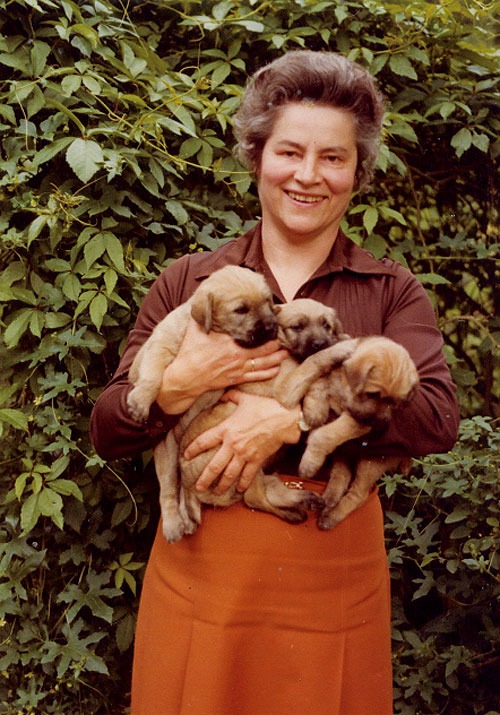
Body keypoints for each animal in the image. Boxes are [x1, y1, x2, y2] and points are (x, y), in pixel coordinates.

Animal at [159, 298, 348, 542]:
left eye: (326, 325)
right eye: (297, 327)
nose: (321, 343)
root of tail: (189, 485)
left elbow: (318, 375)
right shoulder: (286, 387)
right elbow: (313, 362)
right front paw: (340, 348)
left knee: (270, 490)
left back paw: (304, 499)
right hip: (247, 461)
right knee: (254, 499)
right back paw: (292, 514)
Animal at [277, 335, 419, 528]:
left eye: (394, 402)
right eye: (373, 394)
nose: (380, 424)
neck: (344, 387)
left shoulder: (356, 420)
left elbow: (327, 434)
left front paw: (309, 463)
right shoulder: (328, 377)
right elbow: (317, 384)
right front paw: (315, 411)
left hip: (370, 463)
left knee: (358, 494)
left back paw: (332, 516)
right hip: (345, 454)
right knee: (342, 475)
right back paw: (328, 499)